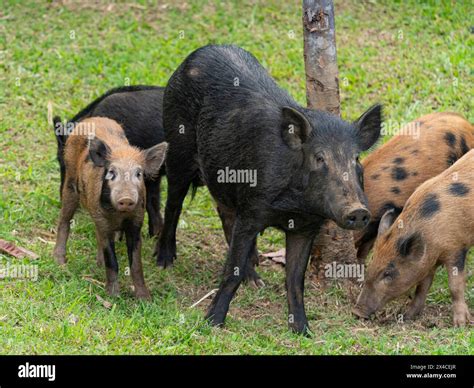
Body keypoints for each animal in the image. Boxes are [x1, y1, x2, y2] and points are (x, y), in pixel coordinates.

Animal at [159, 44, 382, 334]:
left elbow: (295, 280)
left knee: (224, 213)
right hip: (177, 147)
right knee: (173, 203)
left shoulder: (305, 227)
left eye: (356, 158)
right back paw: (165, 261)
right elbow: (231, 271)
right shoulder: (253, 209)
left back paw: (255, 280)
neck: (293, 206)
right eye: (319, 158)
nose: (358, 211)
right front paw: (212, 324)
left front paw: (303, 331)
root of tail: (196, 54)